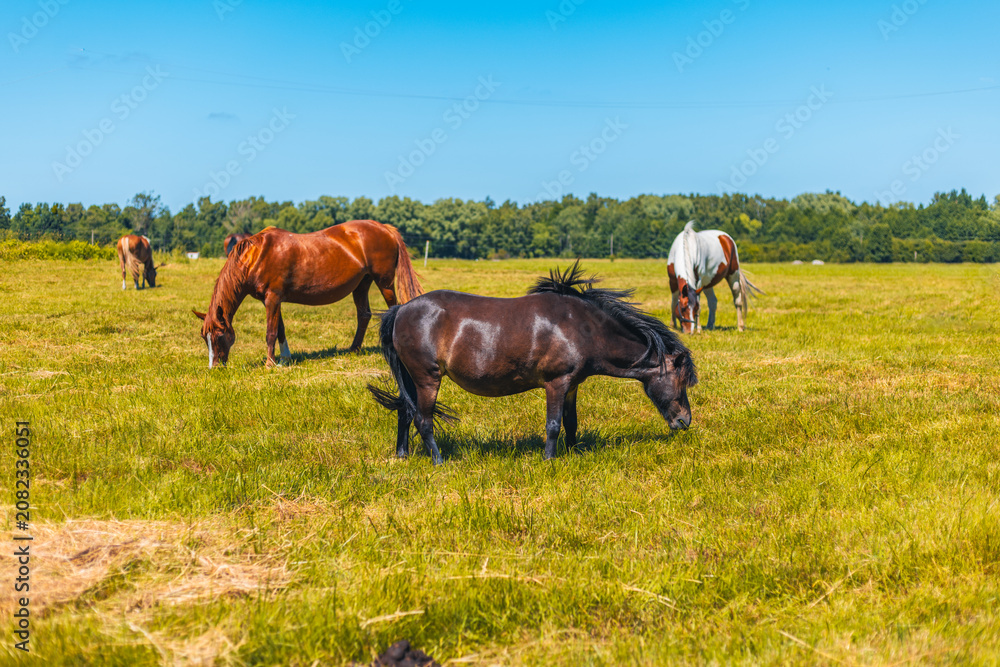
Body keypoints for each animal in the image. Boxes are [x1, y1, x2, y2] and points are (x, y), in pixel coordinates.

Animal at [194, 220, 423, 368]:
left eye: (220, 336)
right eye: (204, 337)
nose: (215, 368)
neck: (256, 256)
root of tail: (385, 228)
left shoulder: (272, 298)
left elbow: (270, 332)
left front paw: (269, 363)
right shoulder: (274, 300)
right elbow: (280, 329)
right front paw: (284, 358)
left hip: (384, 282)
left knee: (392, 310)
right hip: (362, 284)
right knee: (364, 315)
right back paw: (353, 349)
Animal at [367, 262, 697, 465]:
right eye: (681, 381)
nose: (685, 421)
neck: (582, 327)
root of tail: (400, 309)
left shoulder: (572, 386)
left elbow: (571, 423)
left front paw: (573, 454)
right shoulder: (556, 383)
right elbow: (553, 425)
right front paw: (550, 459)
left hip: (411, 379)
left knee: (405, 412)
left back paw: (402, 455)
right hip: (427, 379)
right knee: (422, 420)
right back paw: (438, 460)